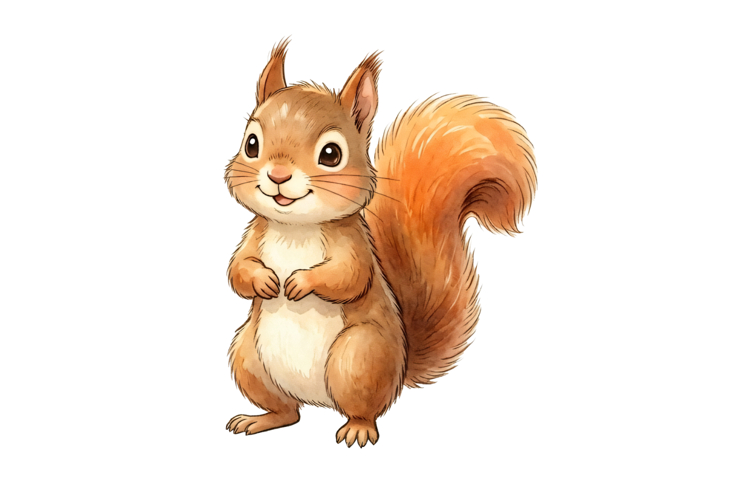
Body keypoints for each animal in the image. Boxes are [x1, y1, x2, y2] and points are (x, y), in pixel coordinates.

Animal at [224, 40, 537, 447]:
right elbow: (236, 270)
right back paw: (259, 419)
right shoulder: (253, 236)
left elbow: (348, 277)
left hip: (359, 356)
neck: (296, 228)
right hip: (248, 359)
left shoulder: (354, 247)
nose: (277, 175)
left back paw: (357, 429)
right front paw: (263, 280)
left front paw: (300, 281)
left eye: (331, 154)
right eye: (251, 143)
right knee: (288, 412)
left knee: (363, 409)